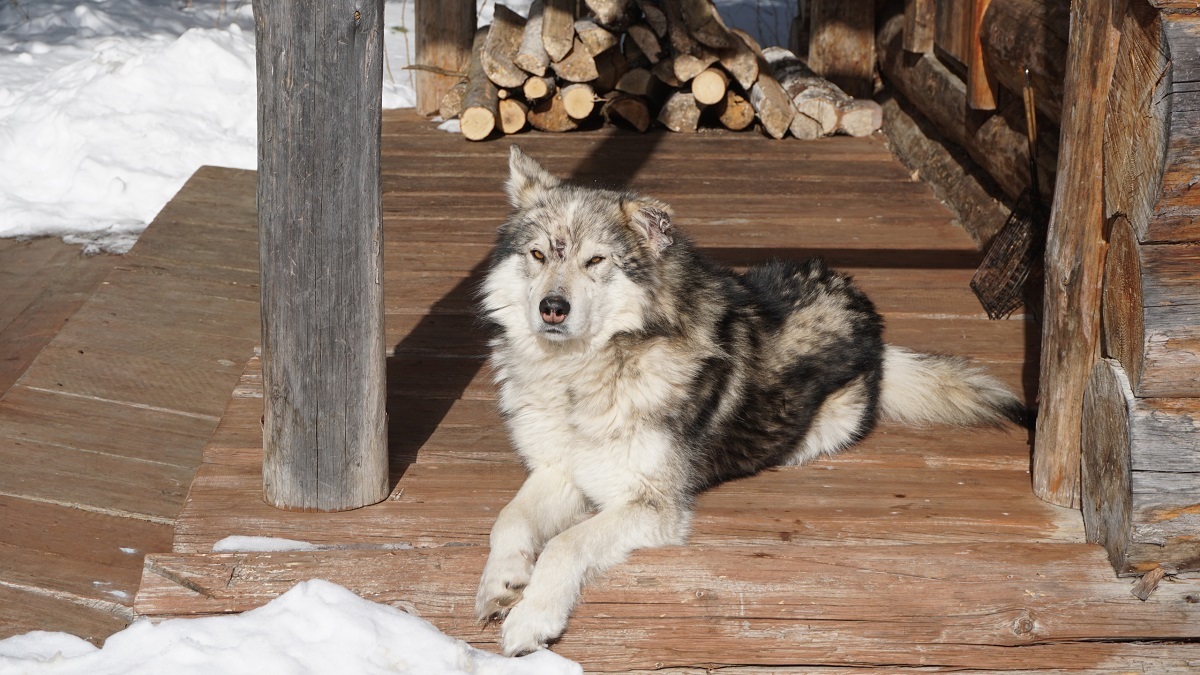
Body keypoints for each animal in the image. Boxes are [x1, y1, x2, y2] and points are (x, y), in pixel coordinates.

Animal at [472, 145, 1027, 653]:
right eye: (538, 255)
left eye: (595, 261)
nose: (553, 308)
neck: (578, 375)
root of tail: (868, 313)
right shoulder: (559, 469)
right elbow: (508, 518)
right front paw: (502, 582)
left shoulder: (652, 504)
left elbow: (564, 544)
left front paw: (531, 619)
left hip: (829, 422)